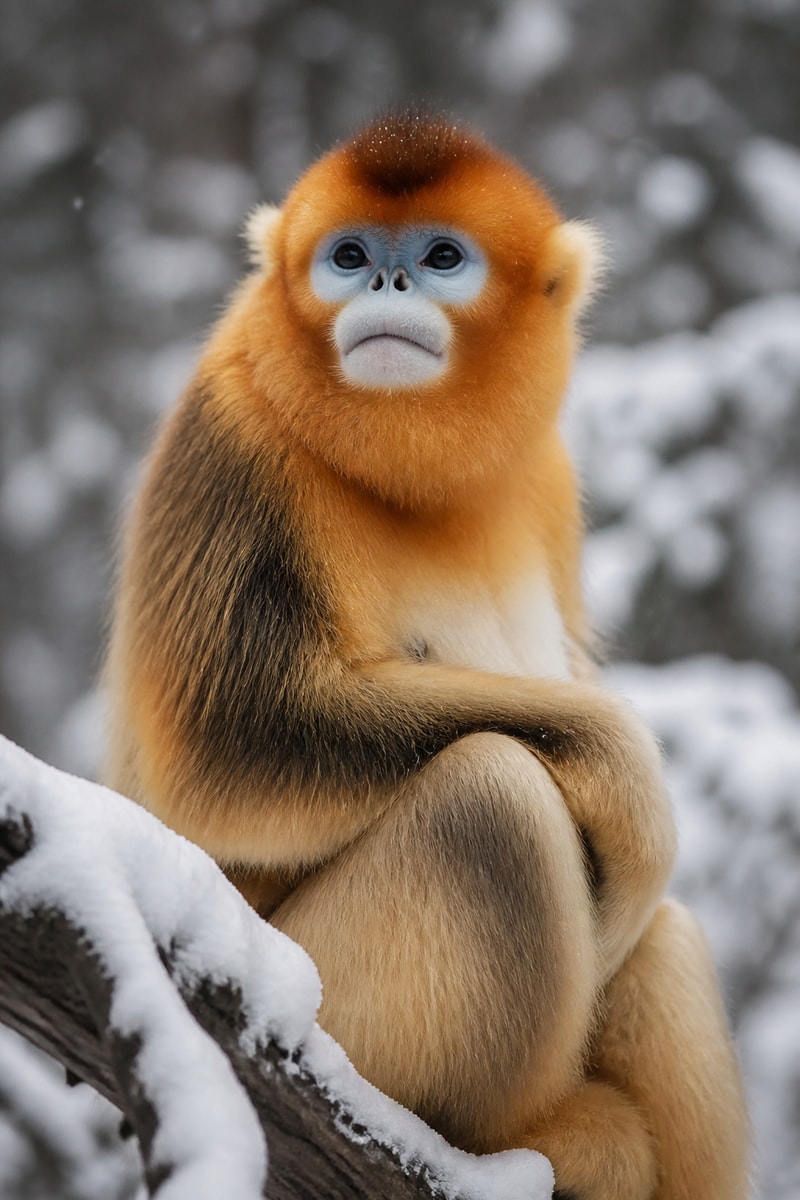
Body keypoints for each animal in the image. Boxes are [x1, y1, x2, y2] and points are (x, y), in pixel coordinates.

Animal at [104, 112, 749, 1199]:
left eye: (442, 258)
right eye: (348, 255)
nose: (387, 283)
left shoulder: (547, 476)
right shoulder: (233, 438)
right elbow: (226, 753)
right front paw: (629, 778)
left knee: (660, 936)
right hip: (323, 1000)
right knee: (492, 794)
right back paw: (509, 1141)